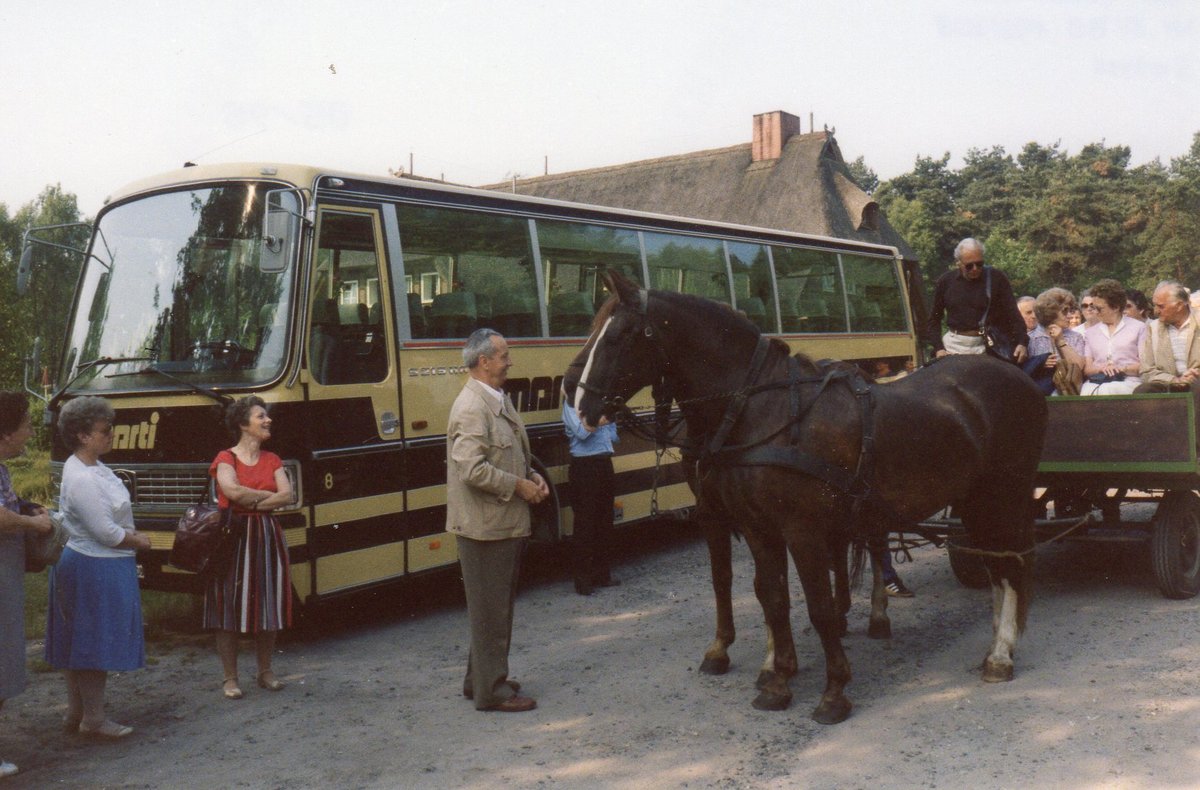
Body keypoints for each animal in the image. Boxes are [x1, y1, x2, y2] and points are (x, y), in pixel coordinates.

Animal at [566, 268, 1046, 720]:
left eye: (620, 335)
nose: (579, 404)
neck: (759, 410)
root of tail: (1015, 377)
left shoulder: (802, 530)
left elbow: (816, 605)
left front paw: (833, 692)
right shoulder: (755, 527)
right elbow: (772, 597)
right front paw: (777, 681)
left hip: (1004, 495)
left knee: (1010, 565)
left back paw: (999, 655)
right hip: (975, 500)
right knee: (993, 563)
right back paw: (994, 644)